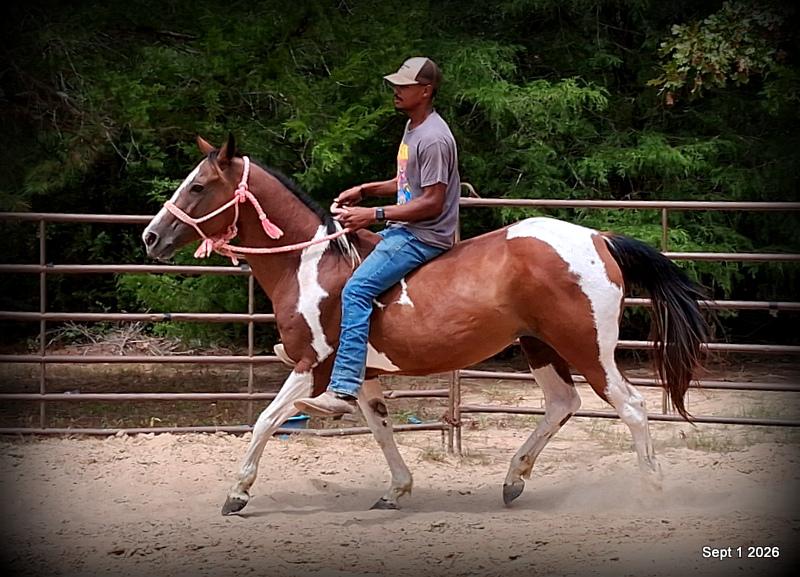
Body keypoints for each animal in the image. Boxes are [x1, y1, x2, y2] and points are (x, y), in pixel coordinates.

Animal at [142, 135, 709, 515]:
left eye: (198, 186)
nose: (151, 236)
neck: (310, 264)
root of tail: (597, 238)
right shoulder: (362, 375)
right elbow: (379, 428)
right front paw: (396, 489)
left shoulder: (314, 364)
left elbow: (265, 420)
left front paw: (237, 492)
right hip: (538, 345)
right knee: (562, 404)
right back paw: (513, 479)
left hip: (587, 347)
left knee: (631, 407)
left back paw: (651, 491)